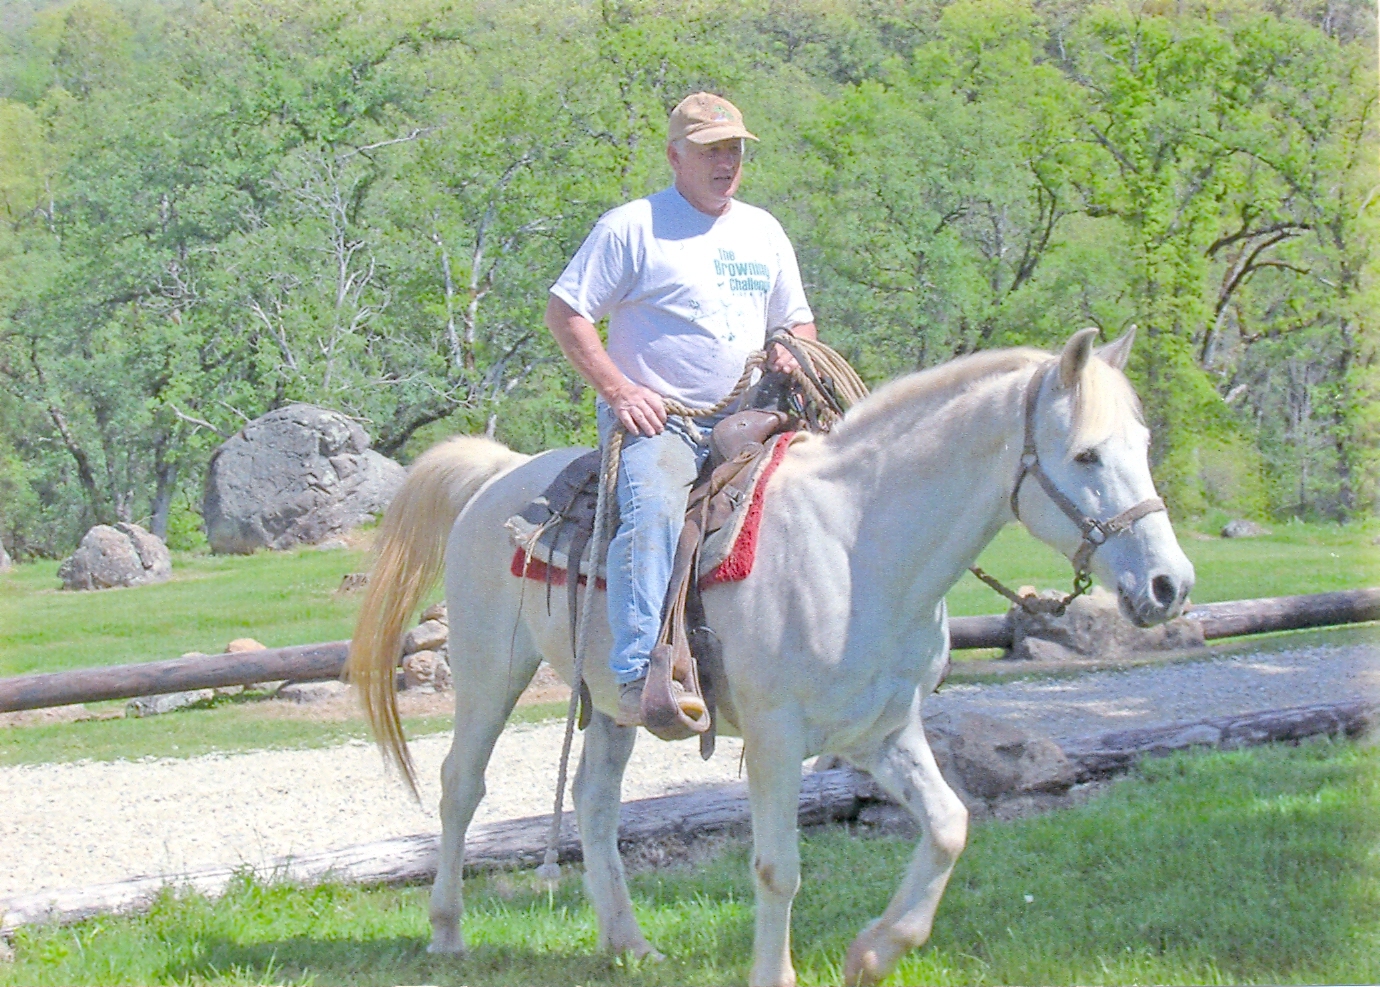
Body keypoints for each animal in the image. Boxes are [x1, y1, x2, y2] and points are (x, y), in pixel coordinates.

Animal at [350, 328, 1192, 982]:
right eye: (1085, 455)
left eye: (1143, 445)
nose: (1170, 584)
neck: (857, 545)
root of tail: (498, 475)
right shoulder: (776, 738)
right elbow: (777, 867)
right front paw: (777, 971)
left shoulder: (883, 729)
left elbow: (950, 824)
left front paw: (874, 951)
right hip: (490, 672)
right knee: (461, 786)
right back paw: (448, 932)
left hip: (615, 700)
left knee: (593, 801)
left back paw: (629, 943)